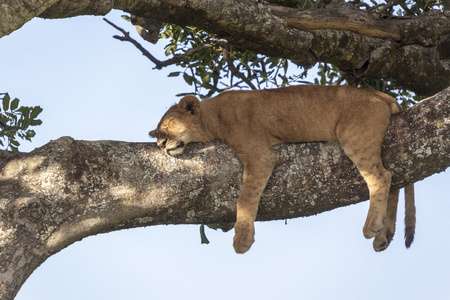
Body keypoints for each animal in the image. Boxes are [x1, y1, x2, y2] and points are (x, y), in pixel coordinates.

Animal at [149, 84, 416, 253]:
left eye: (169, 125)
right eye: (158, 131)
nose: (160, 144)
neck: (212, 114)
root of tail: (382, 95)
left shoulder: (260, 155)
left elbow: (244, 199)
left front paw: (242, 239)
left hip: (354, 136)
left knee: (381, 177)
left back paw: (371, 227)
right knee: (395, 180)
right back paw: (383, 236)